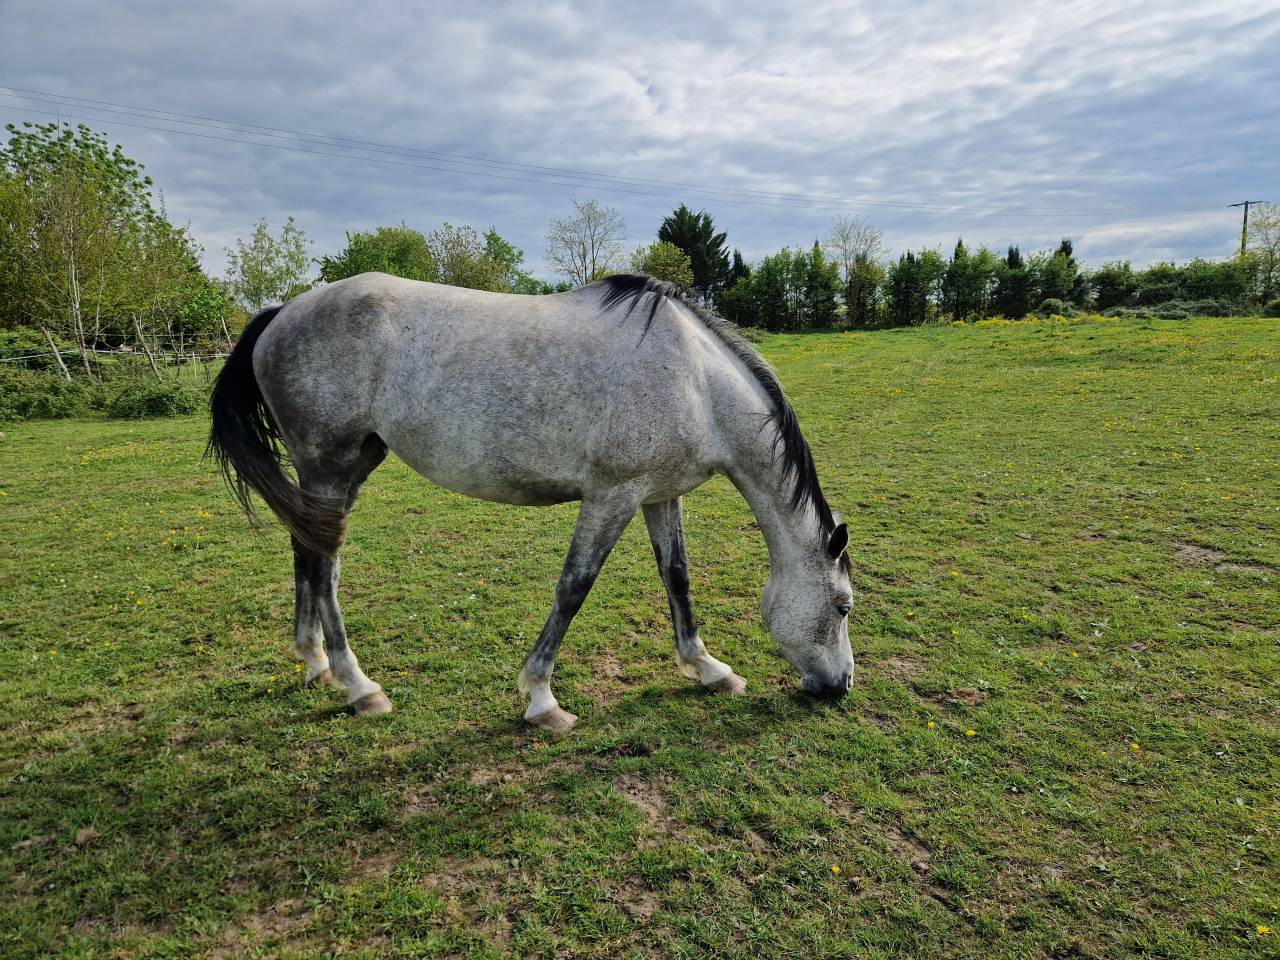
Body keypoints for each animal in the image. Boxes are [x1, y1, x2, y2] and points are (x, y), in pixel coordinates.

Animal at [208, 272, 853, 731]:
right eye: (844, 606)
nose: (841, 686)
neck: (695, 379)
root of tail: (282, 312)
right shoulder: (612, 495)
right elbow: (574, 587)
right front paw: (541, 699)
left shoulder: (657, 494)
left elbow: (677, 577)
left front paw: (708, 669)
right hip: (328, 464)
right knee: (322, 565)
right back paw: (357, 685)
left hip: (347, 468)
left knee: (308, 549)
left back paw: (314, 662)